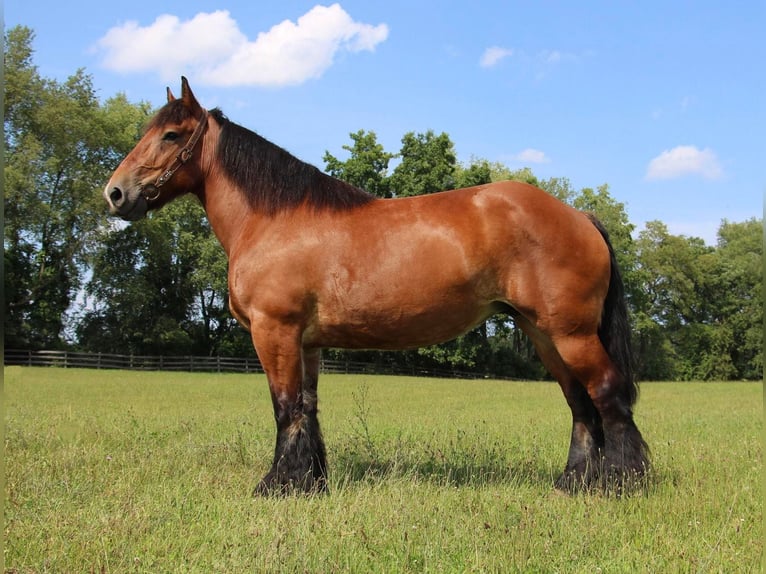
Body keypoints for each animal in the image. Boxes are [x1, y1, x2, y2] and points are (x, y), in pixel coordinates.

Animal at [105, 79, 652, 498]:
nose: (115, 193)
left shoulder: (274, 332)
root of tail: (578, 215)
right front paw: (309, 483)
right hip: (544, 334)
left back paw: (621, 482)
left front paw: (276, 485)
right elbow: (307, 408)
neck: (275, 219)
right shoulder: (306, 343)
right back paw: (573, 483)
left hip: (570, 334)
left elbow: (284, 408)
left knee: (606, 394)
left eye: (171, 134)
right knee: (580, 404)